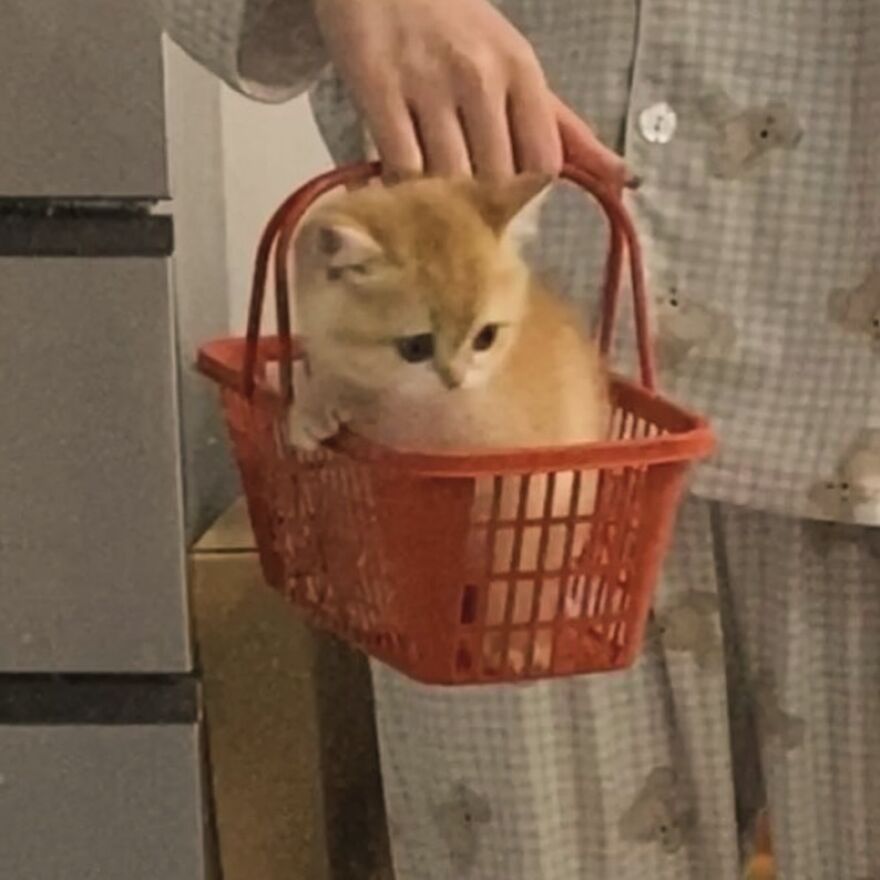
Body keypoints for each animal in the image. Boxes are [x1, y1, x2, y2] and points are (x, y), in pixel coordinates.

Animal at [292, 177, 608, 672]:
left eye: (486, 337)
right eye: (416, 346)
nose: (454, 379)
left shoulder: (533, 494)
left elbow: (515, 582)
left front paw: (513, 644)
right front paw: (313, 405)